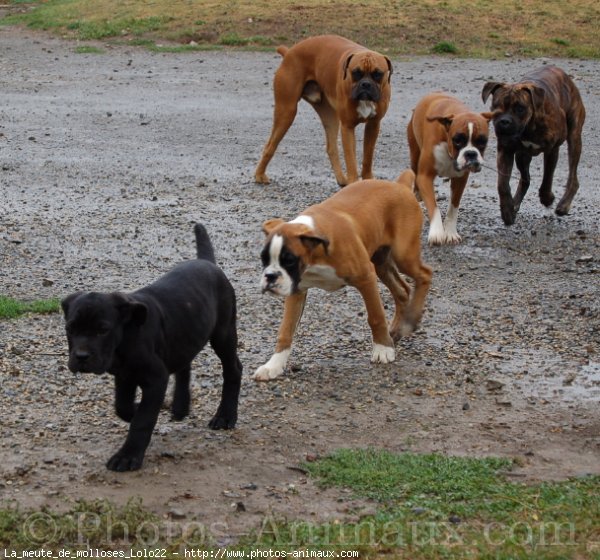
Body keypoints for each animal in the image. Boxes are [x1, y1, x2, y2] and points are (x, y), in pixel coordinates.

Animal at [62, 224, 243, 472]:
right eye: (71, 328)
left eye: (102, 330)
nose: (81, 356)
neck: (125, 337)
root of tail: (208, 263)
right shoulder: (124, 376)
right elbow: (122, 406)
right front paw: (137, 408)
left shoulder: (155, 377)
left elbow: (142, 420)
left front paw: (128, 456)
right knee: (184, 364)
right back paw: (180, 406)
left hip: (223, 333)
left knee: (233, 369)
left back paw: (225, 416)